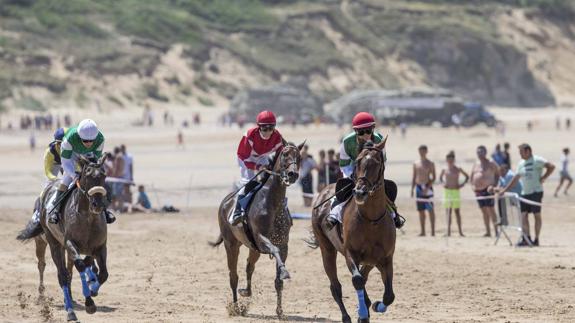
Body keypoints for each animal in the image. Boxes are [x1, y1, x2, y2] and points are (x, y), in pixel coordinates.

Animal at [18, 156, 110, 322]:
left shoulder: (100, 247)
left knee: (69, 272)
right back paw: (69, 310)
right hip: (51, 243)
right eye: (87, 175)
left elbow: (103, 273)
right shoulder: (69, 243)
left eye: (104, 175)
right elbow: (80, 266)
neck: (88, 218)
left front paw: (93, 289)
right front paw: (89, 303)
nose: (98, 205)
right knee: (58, 273)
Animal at [212, 142, 306, 318]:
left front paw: (280, 311)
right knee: (233, 276)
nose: (293, 174)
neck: (273, 203)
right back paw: (236, 307)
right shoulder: (262, 238)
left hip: (252, 248)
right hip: (231, 244)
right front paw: (284, 272)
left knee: (249, 268)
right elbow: (274, 250)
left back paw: (246, 292)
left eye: (299, 156)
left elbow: (278, 280)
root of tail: (225, 202)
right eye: (285, 154)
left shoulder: (283, 244)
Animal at [310, 139, 396, 323]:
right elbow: (357, 280)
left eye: (377, 163)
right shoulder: (351, 253)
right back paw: (347, 316)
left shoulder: (386, 258)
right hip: (327, 249)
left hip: (372, 260)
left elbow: (389, 296)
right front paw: (362, 314)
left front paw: (376, 306)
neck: (371, 221)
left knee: (364, 276)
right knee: (336, 287)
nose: (360, 192)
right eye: (358, 162)